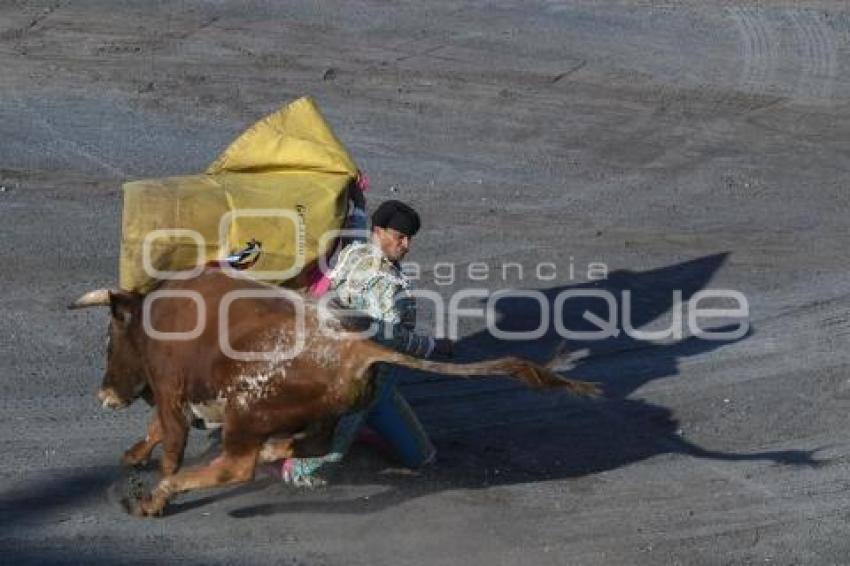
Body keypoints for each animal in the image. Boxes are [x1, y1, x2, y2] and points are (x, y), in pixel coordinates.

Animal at [73, 270, 600, 520]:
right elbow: (158, 431)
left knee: (236, 466)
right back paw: (277, 450)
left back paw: (162, 496)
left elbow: (169, 440)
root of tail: (357, 346)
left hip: (248, 410)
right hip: (316, 414)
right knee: (311, 444)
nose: (104, 395)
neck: (158, 314)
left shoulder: (169, 389)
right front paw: (134, 456)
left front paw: (154, 490)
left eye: (109, 340)